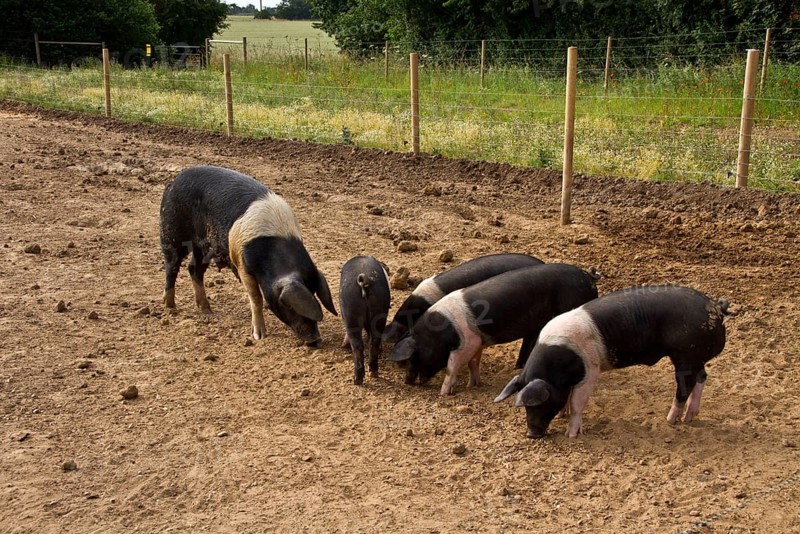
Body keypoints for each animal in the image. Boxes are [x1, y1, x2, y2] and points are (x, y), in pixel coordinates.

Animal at [159, 165, 337, 345]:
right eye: (289, 305)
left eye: (314, 293)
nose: (315, 339)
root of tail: (175, 180)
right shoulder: (242, 264)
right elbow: (257, 298)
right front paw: (259, 336)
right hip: (171, 230)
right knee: (171, 266)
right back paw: (170, 306)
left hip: (204, 246)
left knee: (194, 269)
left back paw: (207, 310)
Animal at [339, 256, 392, 385]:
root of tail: (364, 279)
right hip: (379, 308)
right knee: (374, 340)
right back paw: (373, 373)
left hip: (350, 310)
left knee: (357, 344)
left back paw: (357, 380)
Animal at [387, 263, 599, 395]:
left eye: (416, 355)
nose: (407, 381)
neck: (439, 333)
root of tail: (589, 277)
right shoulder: (477, 343)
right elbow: (473, 363)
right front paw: (473, 385)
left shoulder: (468, 342)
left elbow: (452, 366)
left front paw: (444, 392)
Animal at [495, 285, 730, 439]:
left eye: (539, 403)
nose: (531, 434)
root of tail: (717, 308)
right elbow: (568, 398)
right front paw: (562, 415)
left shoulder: (591, 370)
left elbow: (577, 402)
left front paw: (571, 434)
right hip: (695, 357)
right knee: (702, 377)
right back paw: (689, 417)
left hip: (685, 354)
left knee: (685, 385)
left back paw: (670, 420)